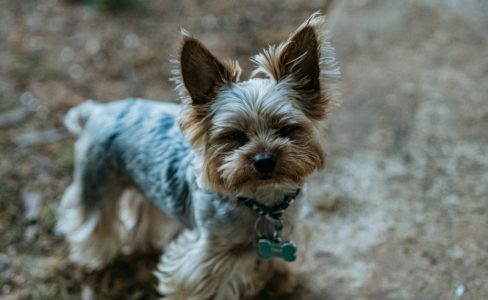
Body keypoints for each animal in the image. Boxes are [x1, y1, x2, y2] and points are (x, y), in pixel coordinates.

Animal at [57, 12, 340, 298]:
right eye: (233, 136)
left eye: (286, 129)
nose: (264, 161)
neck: (264, 202)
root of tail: (98, 110)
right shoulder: (208, 257)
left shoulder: (290, 233)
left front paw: (280, 280)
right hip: (97, 180)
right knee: (94, 220)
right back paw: (97, 258)